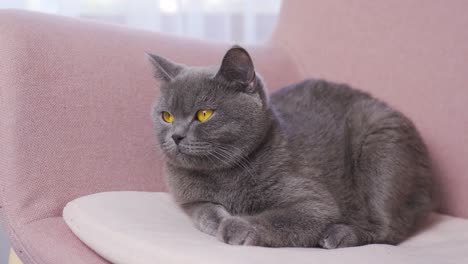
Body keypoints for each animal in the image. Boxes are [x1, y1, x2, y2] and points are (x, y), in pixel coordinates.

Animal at [148, 46, 434, 249]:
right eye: (167, 116)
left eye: (204, 114)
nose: (176, 136)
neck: (222, 176)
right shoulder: (190, 200)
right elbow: (204, 211)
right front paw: (220, 219)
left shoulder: (314, 203)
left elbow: (281, 218)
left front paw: (237, 226)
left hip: (381, 146)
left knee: (391, 229)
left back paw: (338, 234)